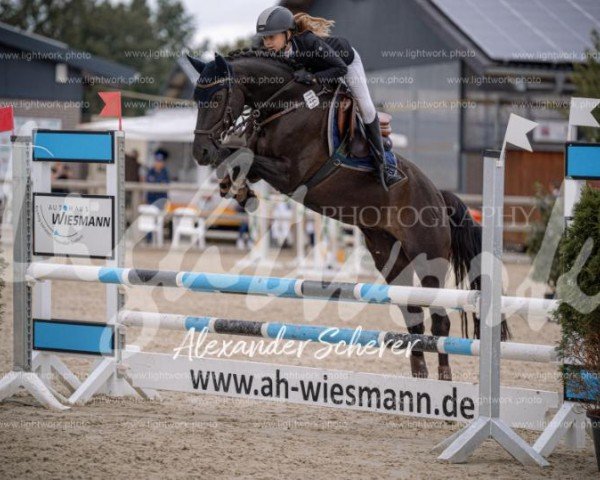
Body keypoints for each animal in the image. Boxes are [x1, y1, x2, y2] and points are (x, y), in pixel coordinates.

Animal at [189, 47, 488, 378]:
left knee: (439, 318)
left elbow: (242, 154)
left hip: (428, 258)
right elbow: (239, 156)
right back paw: (419, 371)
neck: (287, 104)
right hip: (390, 258)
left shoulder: (291, 174)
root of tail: (438, 196)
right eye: (196, 98)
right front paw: (236, 188)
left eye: (217, 97)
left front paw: (237, 186)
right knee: (412, 314)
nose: (200, 151)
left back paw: (443, 374)